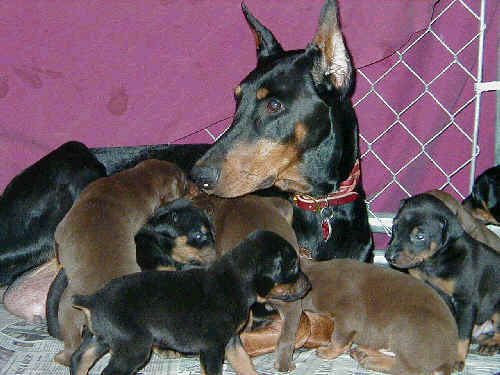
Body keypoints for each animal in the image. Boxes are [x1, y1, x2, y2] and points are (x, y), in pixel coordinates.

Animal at [52, 159, 197, 368]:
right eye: (184, 184)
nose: (199, 188)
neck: (136, 180)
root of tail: (93, 300)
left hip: (66, 313)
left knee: (69, 352)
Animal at [71, 229, 312, 375]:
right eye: (293, 266)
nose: (309, 285)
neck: (235, 281)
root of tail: (93, 299)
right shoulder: (212, 348)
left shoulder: (232, 342)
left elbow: (245, 365)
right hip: (133, 346)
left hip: (101, 337)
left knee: (79, 359)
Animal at [274, 258, 458, 375]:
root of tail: (448, 360)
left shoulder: (348, 313)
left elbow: (338, 339)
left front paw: (327, 352)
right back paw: (363, 352)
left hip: (405, 328)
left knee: (407, 369)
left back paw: (369, 360)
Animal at [384, 194, 498, 370]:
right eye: (395, 227)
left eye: (420, 236)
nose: (389, 257)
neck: (435, 261)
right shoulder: (436, 295)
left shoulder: (465, 302)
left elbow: (462, 335)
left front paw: (457, 359)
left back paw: (490, 344)